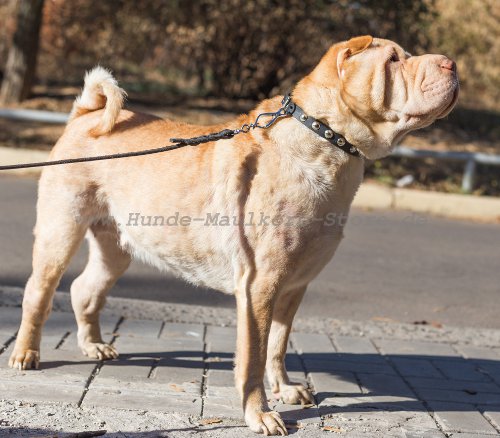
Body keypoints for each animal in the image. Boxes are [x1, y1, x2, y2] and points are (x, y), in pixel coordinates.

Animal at [8, 36, 458, 434]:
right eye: (394, 60)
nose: (451, 63)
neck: (326, 137)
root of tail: (85, 115)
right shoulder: (260, 284)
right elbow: (253, 356)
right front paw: (261, 415)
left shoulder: (295, 285)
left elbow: (278, 345)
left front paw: (286, 390)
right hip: (60, 230)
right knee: (39, 293)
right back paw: (25, 354)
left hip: (116, 246)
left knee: (85, 289)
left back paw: (94, 346)